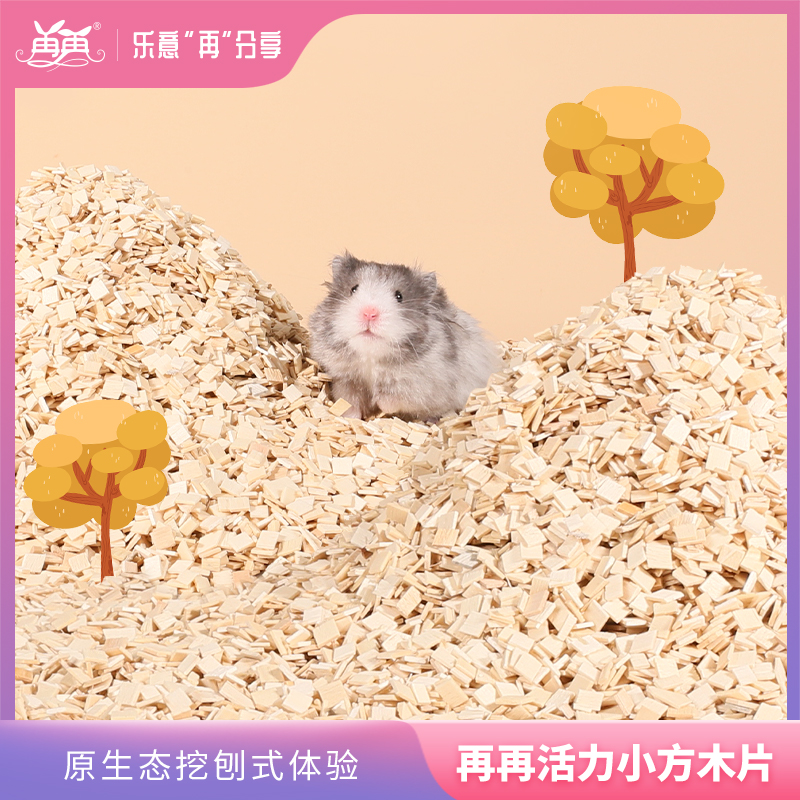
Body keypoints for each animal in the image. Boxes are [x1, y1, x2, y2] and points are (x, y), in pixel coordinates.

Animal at [308, 252, 500, 421]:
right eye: (353, 289)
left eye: (399, 296)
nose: (369, 313)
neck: (370, 357)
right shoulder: (345, 379)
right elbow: (348, 401)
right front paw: (350, 418)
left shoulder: (422, 386)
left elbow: (395, 399)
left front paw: (379, 404)